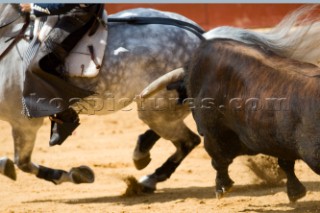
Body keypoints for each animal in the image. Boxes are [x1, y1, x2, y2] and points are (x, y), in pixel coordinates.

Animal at [0, 4, 202, 188]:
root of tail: (200, 37)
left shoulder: (24, 123)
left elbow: (22, 162)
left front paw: (76, 174)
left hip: (157, 107)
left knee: (189, 141)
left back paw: (149, 178)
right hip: (160, 108)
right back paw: (141, 152)